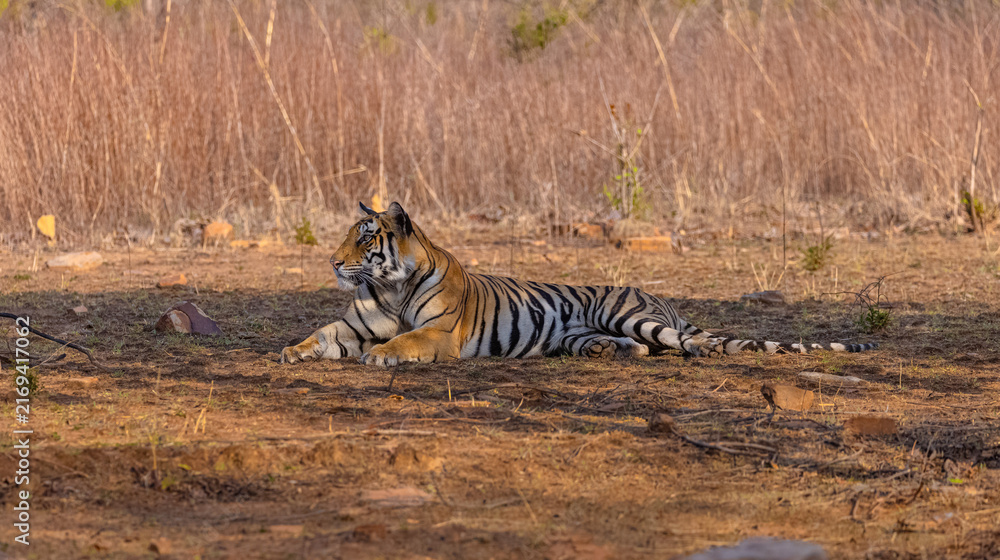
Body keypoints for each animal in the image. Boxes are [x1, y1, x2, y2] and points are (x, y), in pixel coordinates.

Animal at [279, 202, 877, 367]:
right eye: (347, 237)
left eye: (364, 239)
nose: (333, 263)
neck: (393, 285)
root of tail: (659, 297)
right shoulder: (354, 324)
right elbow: (323, 333)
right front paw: (293, 351)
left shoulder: (440, 334)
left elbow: (405, 339)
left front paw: (382, 357)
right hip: (583, 332)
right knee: (638, 348)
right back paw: (612, 354)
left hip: (632, 314)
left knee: (685, 343)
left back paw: (701, 351)